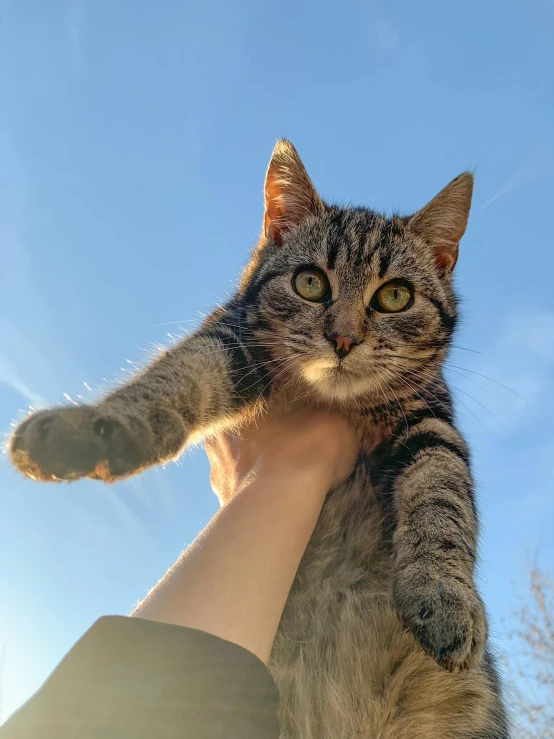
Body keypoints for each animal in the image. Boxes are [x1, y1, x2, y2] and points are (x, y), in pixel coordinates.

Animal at [9, 140, 508, 739]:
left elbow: (442, 502)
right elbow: (174, 376)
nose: (343, 339)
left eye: (394, 296)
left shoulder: (431, 425)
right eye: (310, 283)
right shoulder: (231, 339)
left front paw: (446, 597)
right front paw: (93, 427)